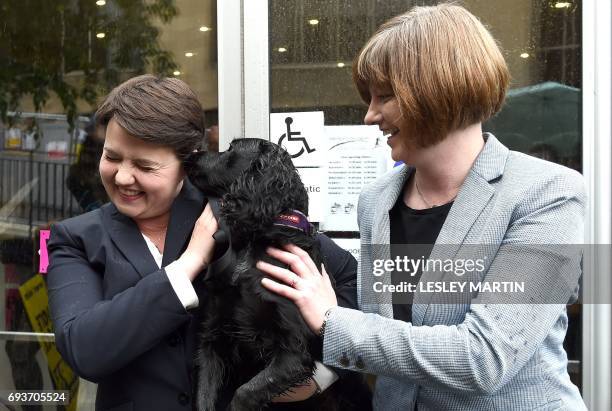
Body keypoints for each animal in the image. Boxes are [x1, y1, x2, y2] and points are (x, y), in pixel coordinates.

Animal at [184, 139, 370, 411]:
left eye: (230, 149)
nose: (189, 155)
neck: (253, 243)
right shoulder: (213, 336)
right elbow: (204, 396)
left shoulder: (293, 352)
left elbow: (244, 393)